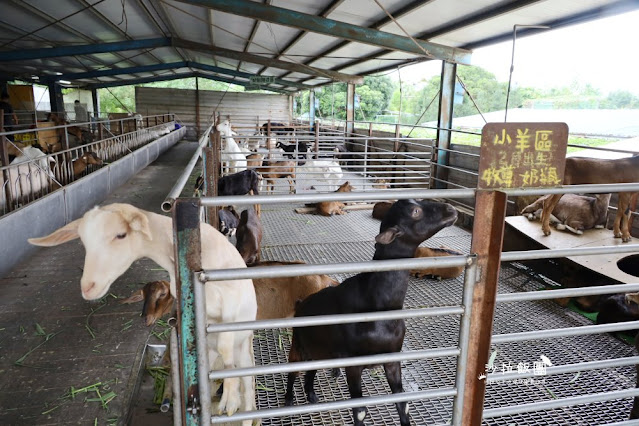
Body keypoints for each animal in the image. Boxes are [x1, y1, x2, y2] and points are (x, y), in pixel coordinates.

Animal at [27, 204, 258, 422]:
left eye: (121, 234)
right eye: (83, 241)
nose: (88, 287)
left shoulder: (230, 300)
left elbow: (226, 344)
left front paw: (230, 398)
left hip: (245, 352)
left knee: (248, 395)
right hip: (209, 354)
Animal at [286, 198, 460, 424]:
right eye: (416, 211)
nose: (451, 209)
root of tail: (300, 304)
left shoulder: (392, 358)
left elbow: (402, 403)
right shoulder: (353, 364)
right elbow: (360, 410)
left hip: (318, 349)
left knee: (311, 370)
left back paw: (312, 395)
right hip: (298, 344)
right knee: (293, 370)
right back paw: (289, 399)